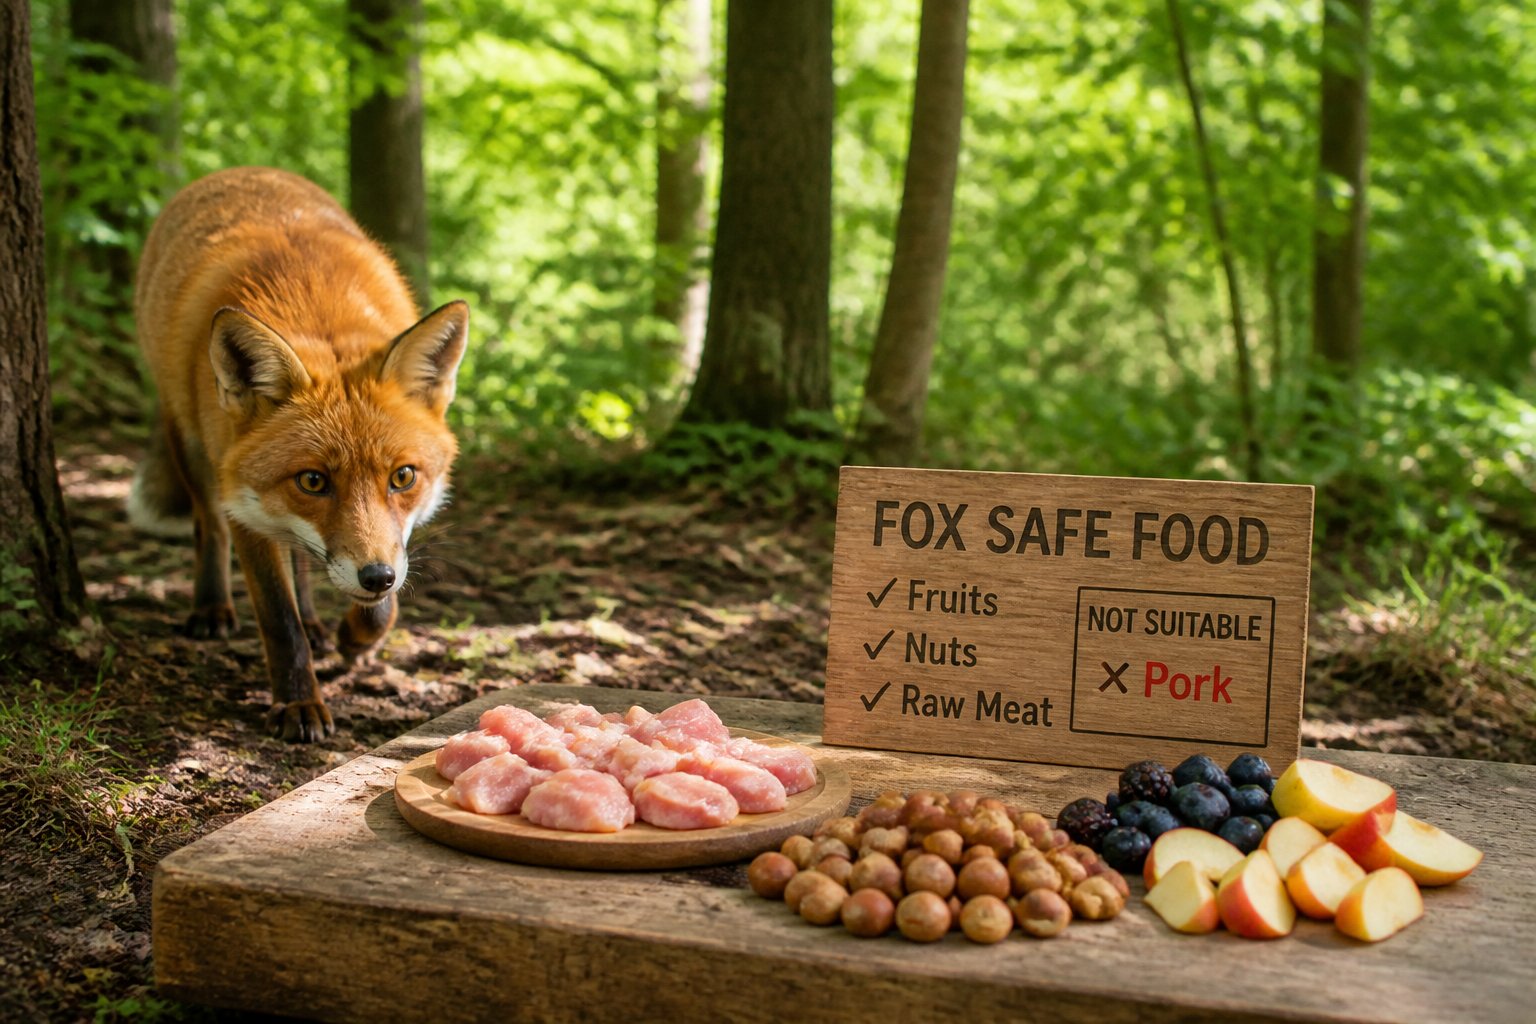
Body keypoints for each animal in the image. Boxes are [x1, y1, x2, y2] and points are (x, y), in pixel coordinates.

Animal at [129, 167, 469, 742]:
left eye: (403, 477)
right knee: (209, 528)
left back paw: (317, 619)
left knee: (303, 562)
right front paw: (298, 703)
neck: (314, 304)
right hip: (191, 446)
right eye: (313, 481)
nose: (375, 577)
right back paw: (212, 606)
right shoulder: (244, 503)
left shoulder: (388, 543)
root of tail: (243, 170)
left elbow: (380, 605)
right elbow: (277, 617)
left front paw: (359, 635)